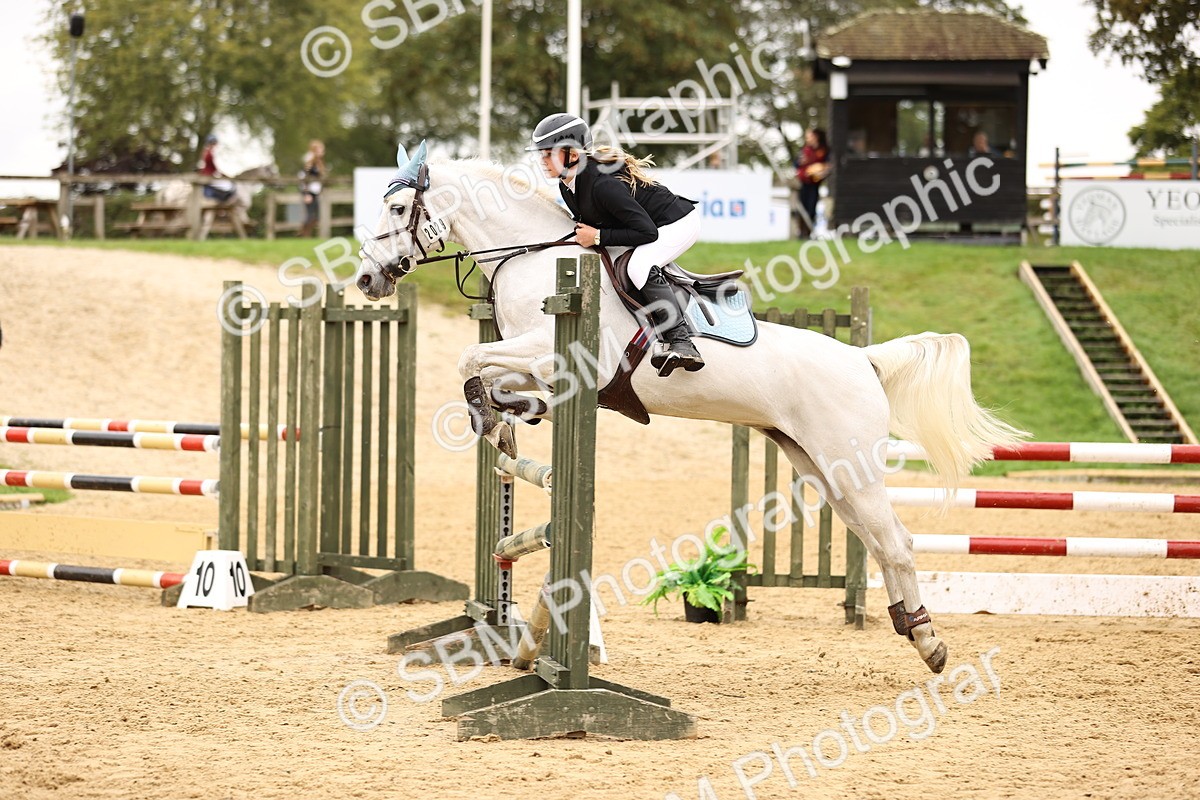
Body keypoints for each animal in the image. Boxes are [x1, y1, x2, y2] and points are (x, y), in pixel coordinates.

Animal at [355, 143, 1028, 675]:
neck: (533, 257)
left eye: (397, 210)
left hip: (851, 465)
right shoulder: (538, 359)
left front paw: (500, 418)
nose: (366, 281)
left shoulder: (566, 358)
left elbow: (473, 357)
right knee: (879, 541)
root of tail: (864, 359)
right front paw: (507, 416)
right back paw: (909, 627)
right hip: (823, 469)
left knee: (898, 541)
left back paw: (930, 643)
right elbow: (486, 370)